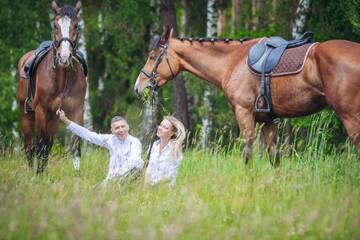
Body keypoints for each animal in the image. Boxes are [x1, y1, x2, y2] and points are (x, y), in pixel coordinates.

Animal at [16, 0, 86, 172]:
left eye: (76, 25)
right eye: (55, 25)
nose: (64, 56)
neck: (62, 79)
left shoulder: (76, 111)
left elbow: (75, 145)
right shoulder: (41, 111)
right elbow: (41, 145)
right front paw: (39, 175)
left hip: (53, 120)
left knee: (47, 144)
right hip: (27, 115)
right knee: (29, 146)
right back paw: (30, 172)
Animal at [134, 27, 360, 164]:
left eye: (153, 57)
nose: (138, 86)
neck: (233, 61)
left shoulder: (244, 115)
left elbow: (247, 156)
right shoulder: (269, 122)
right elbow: (274, 158)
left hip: (350, 117)